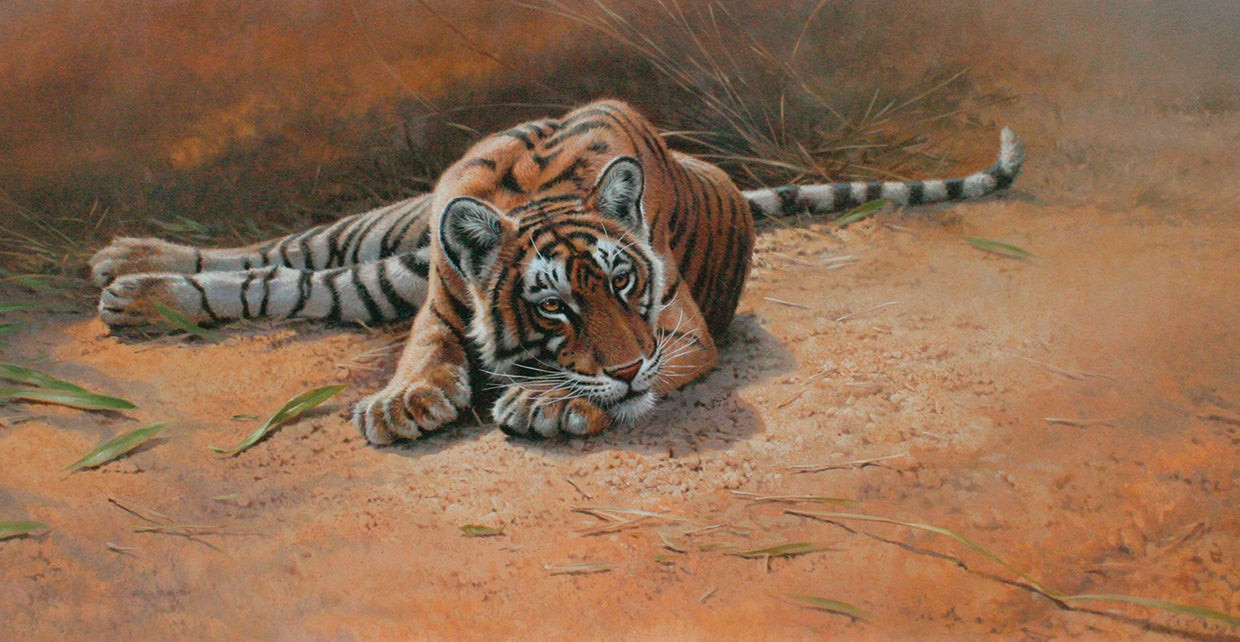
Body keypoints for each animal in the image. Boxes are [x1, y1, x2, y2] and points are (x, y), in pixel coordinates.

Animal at [90, 100, 1024, 443]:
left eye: (625, 283)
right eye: (555, 309)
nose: (628, 368)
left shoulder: (680, 331)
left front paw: (545, 403)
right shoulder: (439, 297)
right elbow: (427, 349)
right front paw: (407, 400)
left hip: (380, 273)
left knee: (288, 283)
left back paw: (129, 287)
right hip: (391, 238)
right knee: (290, 254)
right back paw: (127, 263)